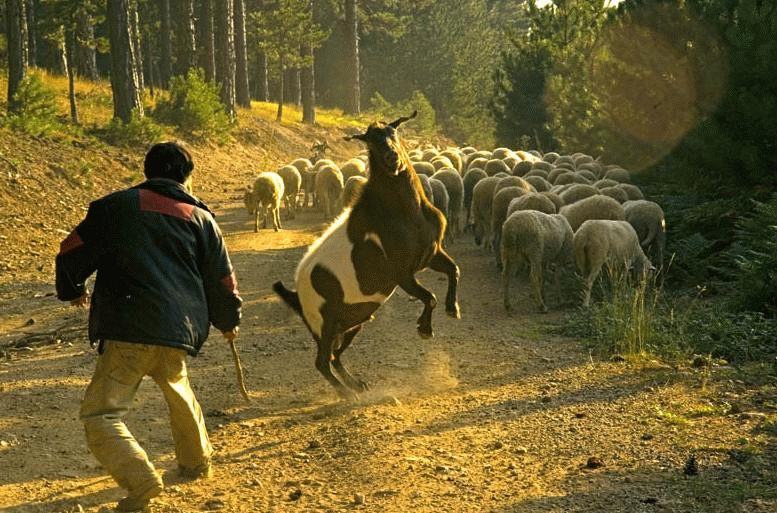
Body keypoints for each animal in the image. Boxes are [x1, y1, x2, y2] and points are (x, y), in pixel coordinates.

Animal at [272, 112, 460, 400]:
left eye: (394, 133)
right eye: (370, 142)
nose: (392, 158)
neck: (405, 213)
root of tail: (296, 296)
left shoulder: (431, 254)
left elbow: (453, 271)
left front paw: (453, 309)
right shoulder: (402, 273)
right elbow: (430, 297)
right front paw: (424, 329)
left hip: (353, 323)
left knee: (335, 357)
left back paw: (356, 385)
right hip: (325, 324)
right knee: (322, 361)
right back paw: (347, 394)